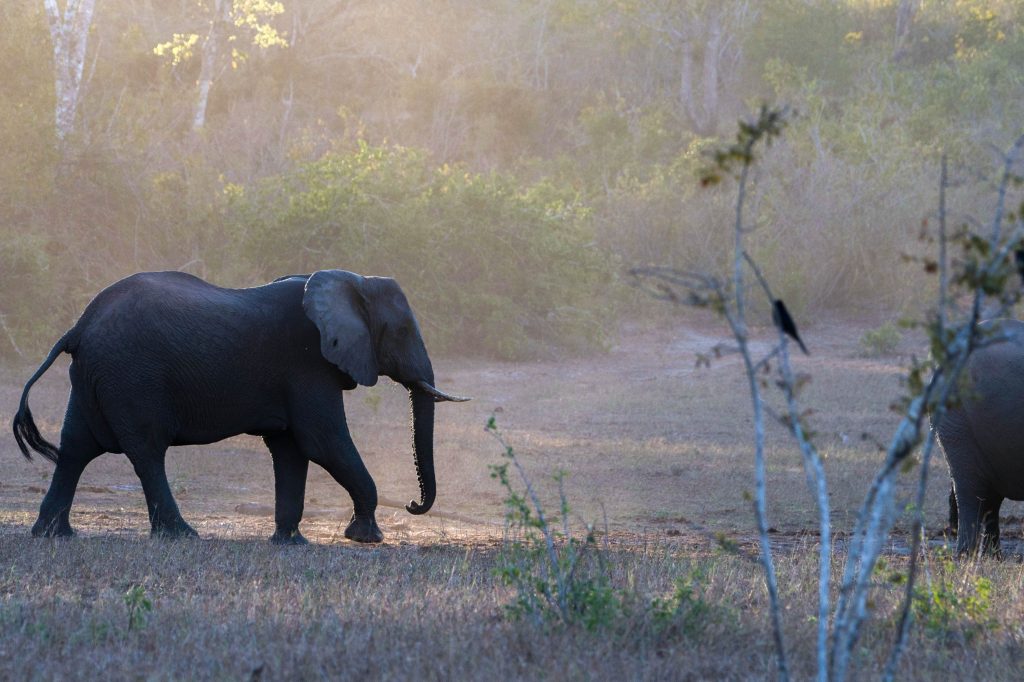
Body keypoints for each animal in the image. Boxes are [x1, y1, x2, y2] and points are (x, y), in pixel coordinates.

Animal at [12, 270, 468, 544]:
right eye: (403, 330)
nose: (412, 505)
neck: (352, 281)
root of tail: (78, 327)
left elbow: (290, 450)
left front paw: (290, 543)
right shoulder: (308, 363)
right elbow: (322, 442)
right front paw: (365, 537)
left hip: (95, 376)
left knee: (75, 449)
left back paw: (53, 535)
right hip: (131, 375)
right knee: (146, 451)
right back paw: (182, 536)